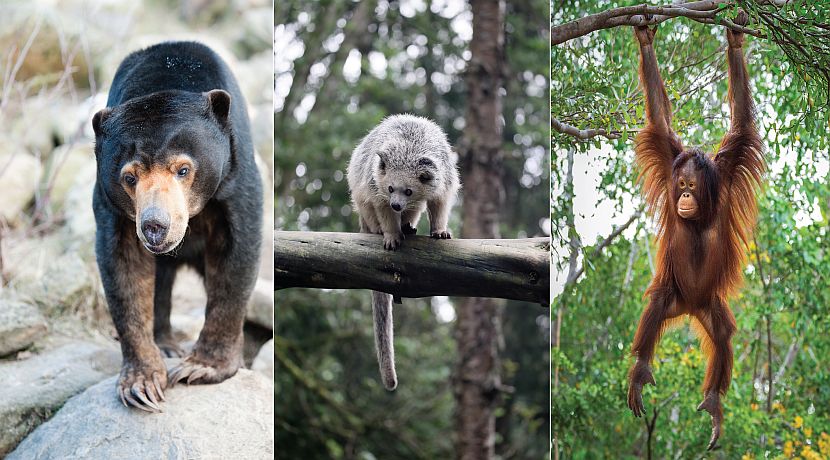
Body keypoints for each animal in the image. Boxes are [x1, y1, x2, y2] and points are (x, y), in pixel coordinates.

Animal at [346, 114, 460, 390]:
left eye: (408, 190)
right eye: (391, 188)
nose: (397, 204)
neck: (410, 151)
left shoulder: (443, 174)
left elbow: (440, 201)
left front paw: (439, 229)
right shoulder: (374, 179)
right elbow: (379, 204)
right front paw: (390, 233)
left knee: (416, 208)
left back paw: (408, 224)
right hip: (359, 187)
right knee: (365, 202)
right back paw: (381, 228)